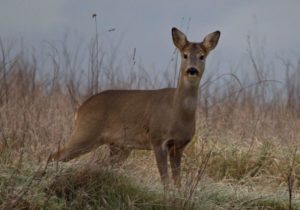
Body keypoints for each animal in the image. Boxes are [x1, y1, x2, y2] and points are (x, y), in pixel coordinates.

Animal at [51, 27, 220, 187]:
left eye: (202, 56)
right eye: (185, 55)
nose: (192, 70)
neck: (177, 113)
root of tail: (79, 110)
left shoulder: (179, 146)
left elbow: (177, 181)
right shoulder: (157, 139)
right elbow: (165, 180)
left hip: (118, 146)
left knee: (103, 166)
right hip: (86, 132)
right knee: (55, 155)